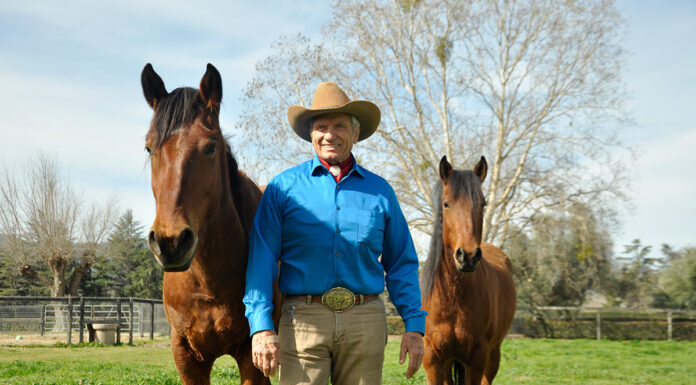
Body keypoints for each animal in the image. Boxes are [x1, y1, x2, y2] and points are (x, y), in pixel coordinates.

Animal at [140, 63, 278, 384]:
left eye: (211, 147)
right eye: (149, 148)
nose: (171, 242)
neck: (208, 283)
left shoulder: (251, 356)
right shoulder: (187, 357)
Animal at [418, 154, 516, 382]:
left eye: (483, 204)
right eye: (446, 204)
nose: (468, 256)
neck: (453, 297)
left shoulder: (477, 360)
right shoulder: (432, 360)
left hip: (493, 356)